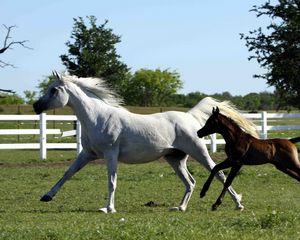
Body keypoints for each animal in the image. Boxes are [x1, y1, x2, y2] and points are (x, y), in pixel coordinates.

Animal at [33, 72, 253, 213]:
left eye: (54, 90)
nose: (36, 106)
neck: (98, 118)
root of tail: (189, 117)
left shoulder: (110, 154)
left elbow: (111, 181)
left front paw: (109, 208)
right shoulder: (88, 154)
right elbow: (67, 173)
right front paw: (47, 196)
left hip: (199, 153)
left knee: (220, 175)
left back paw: (238, 204)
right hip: (175, 159)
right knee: (190, 182)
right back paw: (180, 207)